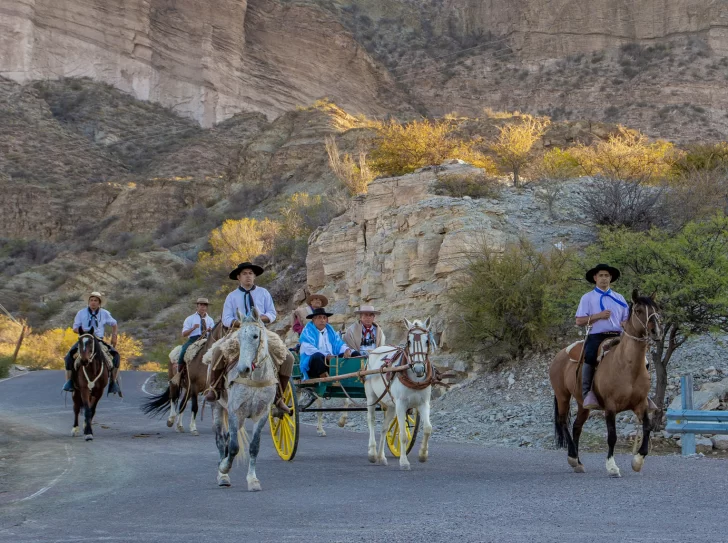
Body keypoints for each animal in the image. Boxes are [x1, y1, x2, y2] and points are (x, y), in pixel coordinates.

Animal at [366, 318, 436, 472]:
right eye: (409, 341)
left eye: (427, 341)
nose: (419, 369)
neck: (415, 379)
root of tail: (375, 351)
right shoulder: (401, 404)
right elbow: (403, 435)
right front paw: (404, 462)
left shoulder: (423, 403)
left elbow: (428, 428)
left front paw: (423, 455)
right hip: (372, 397)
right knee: (371, 420)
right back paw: (372, 453)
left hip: (391, 406)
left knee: (384, 428)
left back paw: (381, 457)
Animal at [548, 292, 664, 478]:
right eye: (639, 310)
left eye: (656, 308)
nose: (657, 331)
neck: (627, 366)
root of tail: (560, 355)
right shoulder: (610, 406)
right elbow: (612, 436)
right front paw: (612, 467)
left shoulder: (641, 404)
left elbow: (647, 427)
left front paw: (638, 461)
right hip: (563, 396)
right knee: (563, 421)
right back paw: (572, 457)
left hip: (582, 404)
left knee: (577, 427)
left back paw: (578, 462)